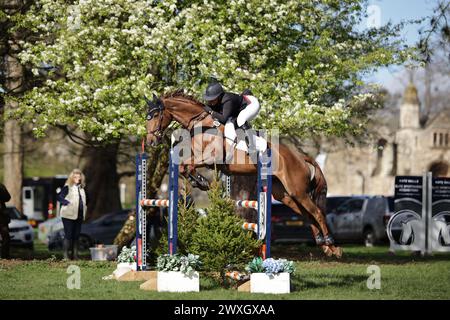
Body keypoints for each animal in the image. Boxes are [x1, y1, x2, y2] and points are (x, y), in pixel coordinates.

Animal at [146, 90, 342, 258]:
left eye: (155, 116)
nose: (150, 141)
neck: (202, 125)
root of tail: (299, 156)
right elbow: (183, 168)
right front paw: (200, 182)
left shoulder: (211, 157)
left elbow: (186, 166)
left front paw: (202, 182)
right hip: (283, 193)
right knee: (306, 214)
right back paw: (324, 244)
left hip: (297, 190)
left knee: (317, 212)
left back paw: (332, 244)